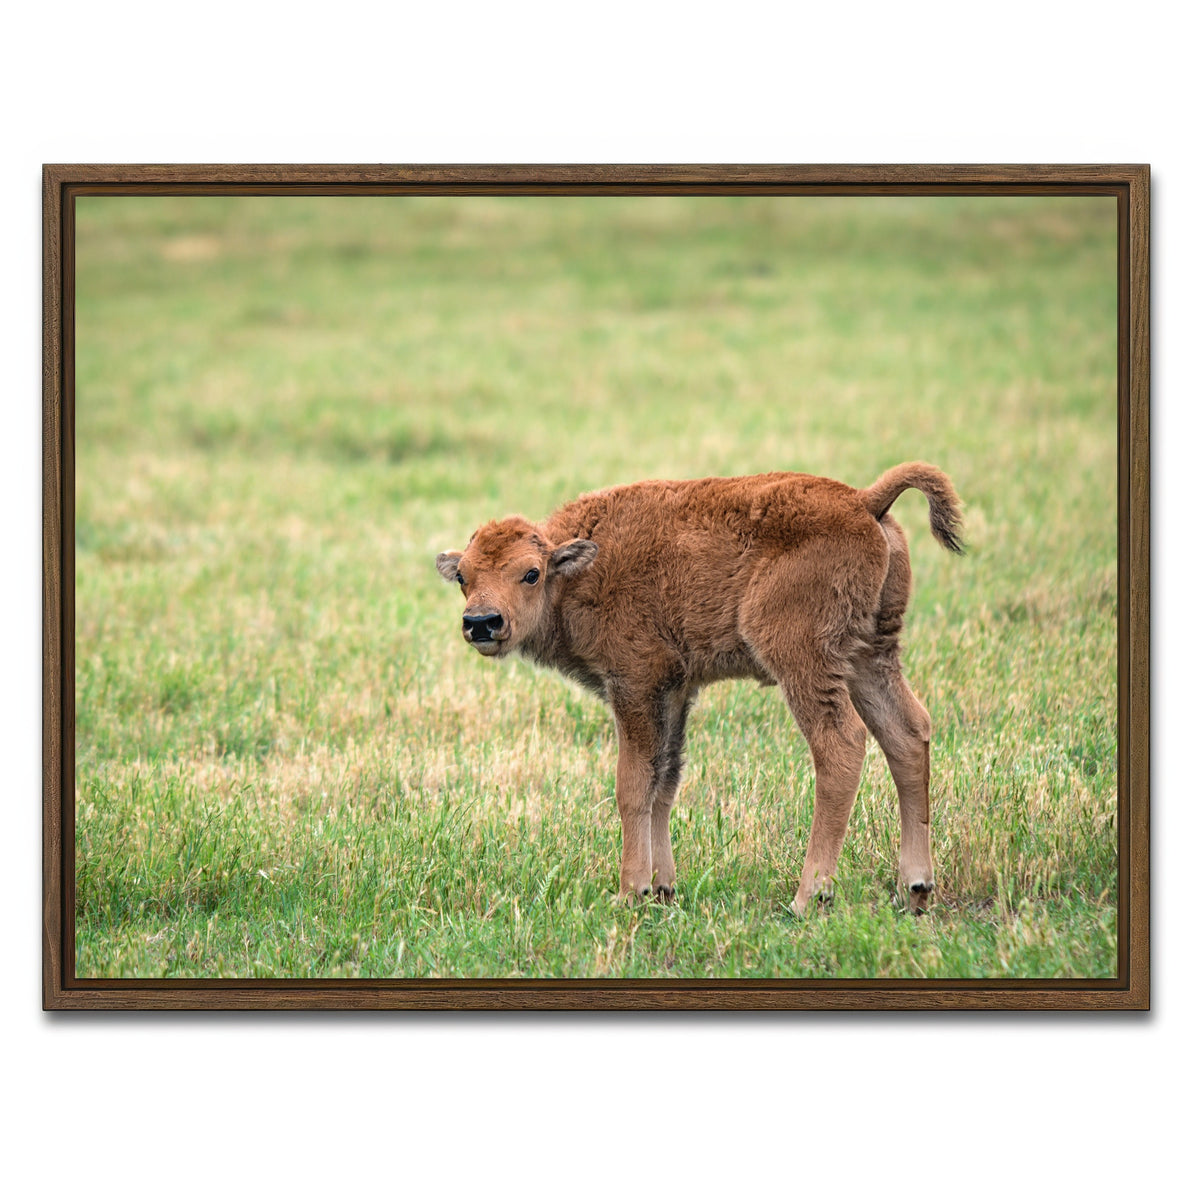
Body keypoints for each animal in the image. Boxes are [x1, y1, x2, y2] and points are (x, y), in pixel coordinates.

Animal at [436, 462, 964, 915]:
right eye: (463, 576)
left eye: (530, 573)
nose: (481, 622)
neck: (577, 567)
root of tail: (863, 501)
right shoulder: (674, 690)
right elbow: (664, 781)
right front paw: (663, 889)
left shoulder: (635, 683)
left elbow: (633, 785)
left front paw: (630, 891)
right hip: (869, 655)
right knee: (907, 733)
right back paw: (915, 889)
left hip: (805, 660)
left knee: (841, 746)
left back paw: (807, 897)